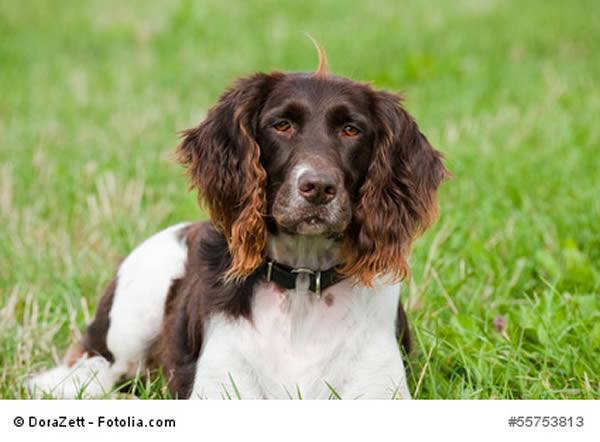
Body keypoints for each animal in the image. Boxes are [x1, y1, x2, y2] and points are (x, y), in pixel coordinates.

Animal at [29, 49, 450, 400]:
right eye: (281, 125)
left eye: (351, 129)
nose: (318, 188)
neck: (301, 288)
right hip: (135, 306)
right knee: (97, 363)